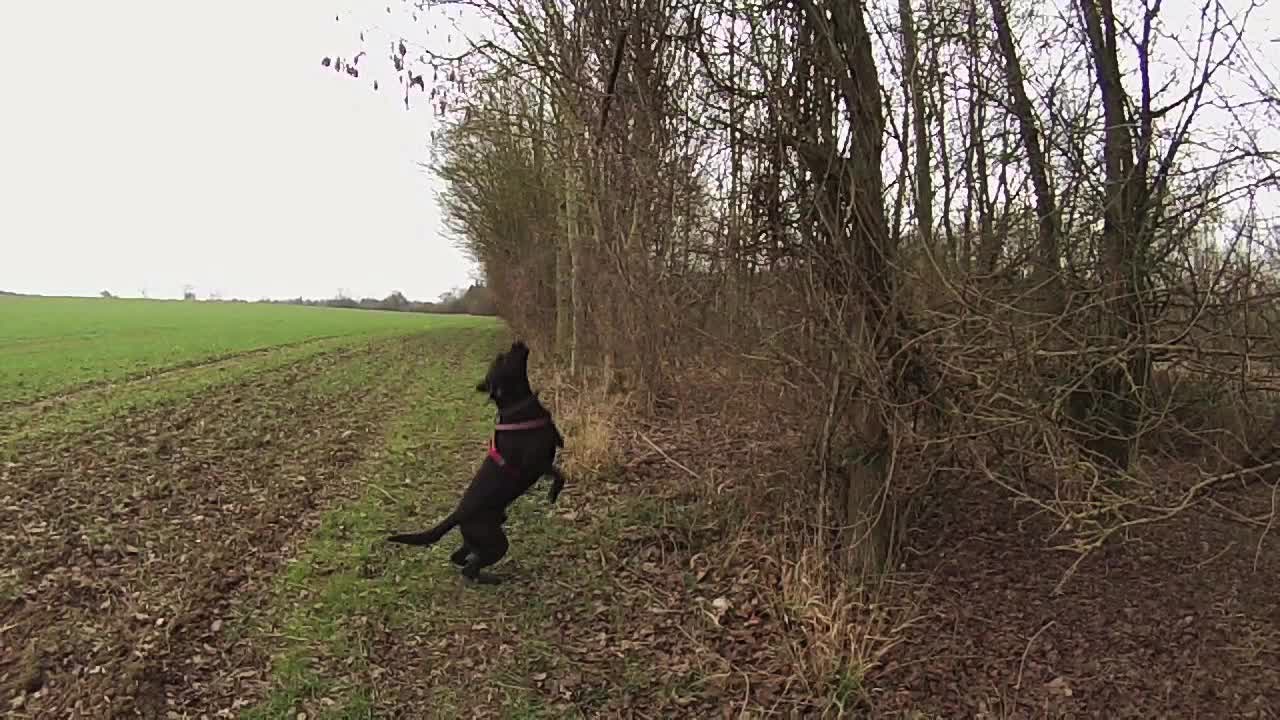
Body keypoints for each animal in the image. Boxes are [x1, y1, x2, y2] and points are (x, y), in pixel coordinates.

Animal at [386, 338, 568, 579]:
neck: (517, 407)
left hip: (479, 538)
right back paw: (492, 578)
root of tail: (457, 513)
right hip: (495, 541)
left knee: (459, 558)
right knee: (470, 569)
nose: (517, 342)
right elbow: (560, 473)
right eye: (501, 358)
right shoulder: (534, 465)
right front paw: (553, 495)